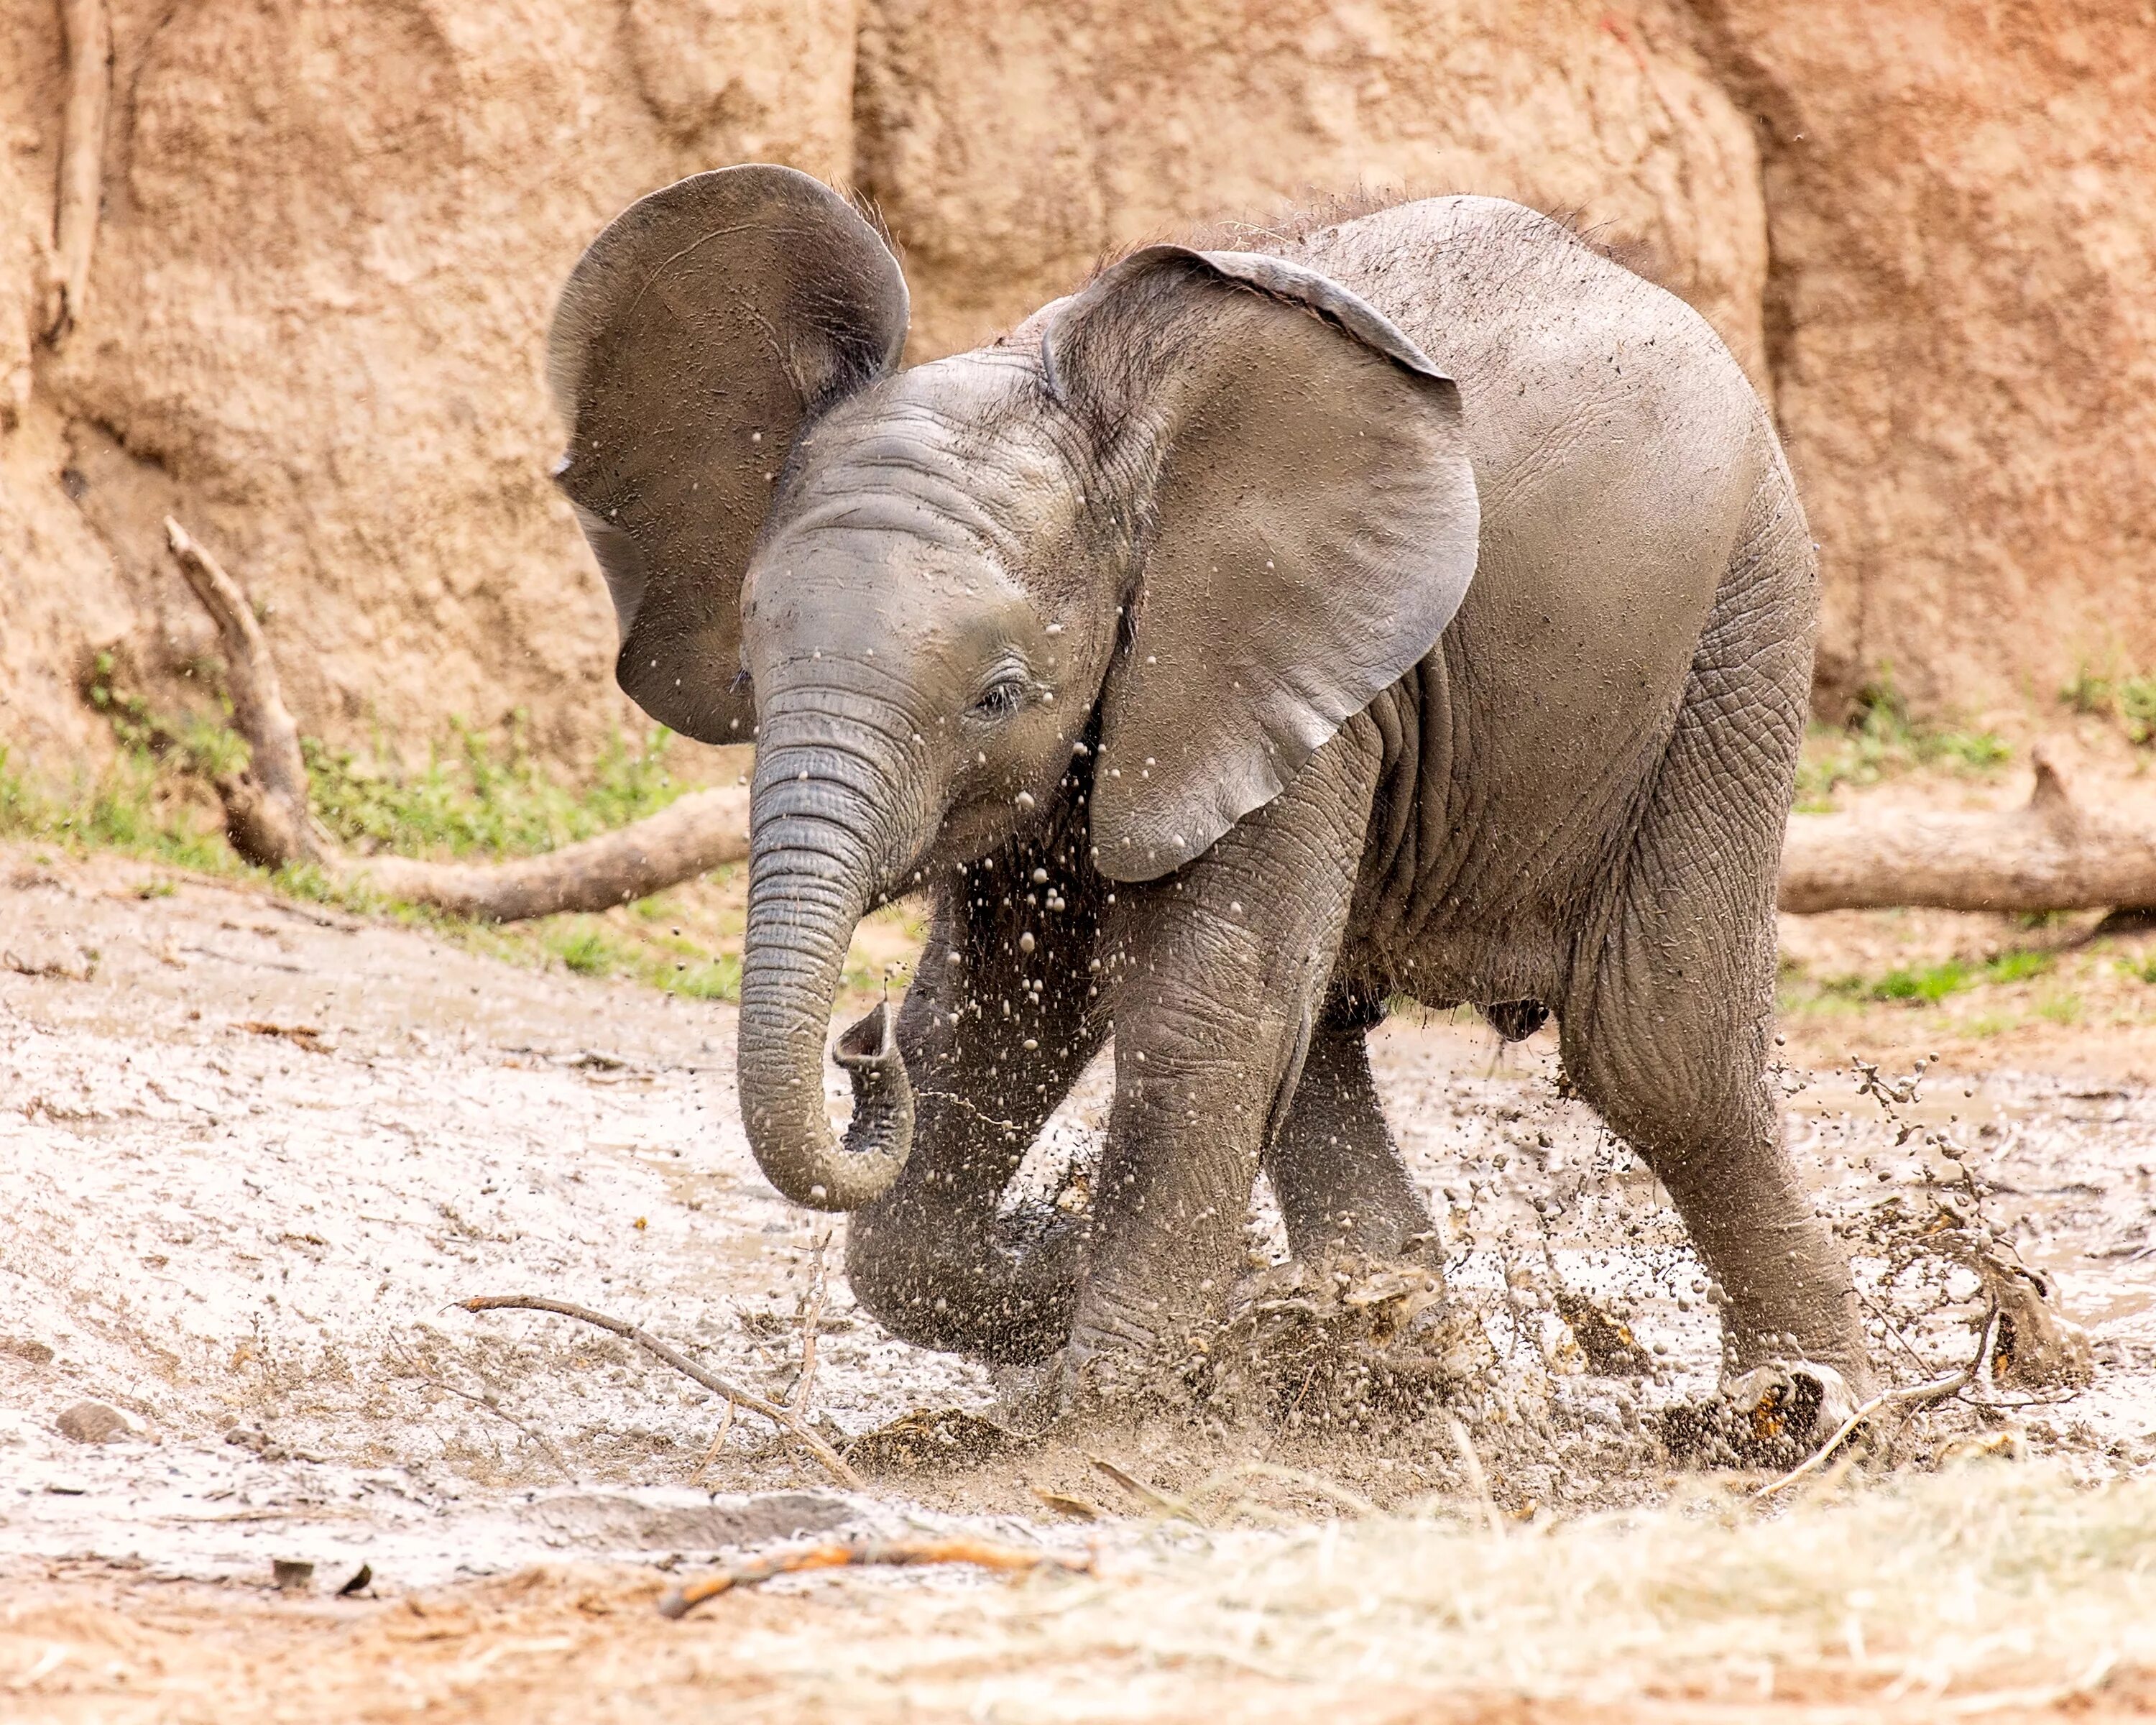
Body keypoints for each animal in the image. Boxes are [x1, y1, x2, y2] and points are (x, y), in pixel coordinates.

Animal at [543, 168, 1871, 1414]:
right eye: (752, 674)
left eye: (998, 694)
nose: (857, 1041)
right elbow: (1001, 1012)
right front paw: (1146, 1291)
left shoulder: (1285, 661)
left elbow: (1197, 1011)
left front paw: (1113, 1410)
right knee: (1326, 1025)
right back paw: (1389, 1344)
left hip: (1739, 627)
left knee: (1660, 1052)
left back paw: (1808, 1409)